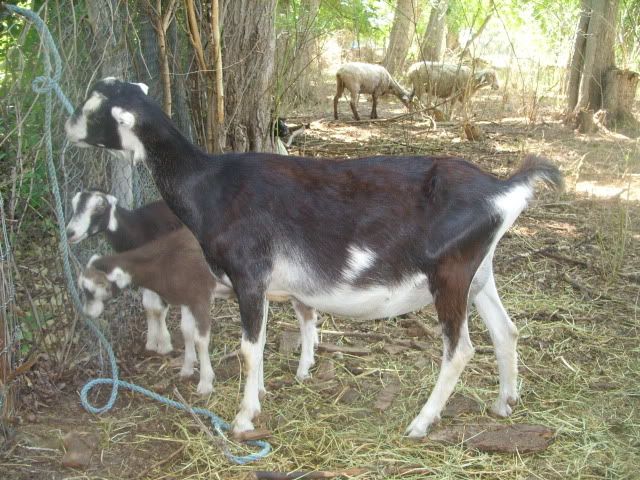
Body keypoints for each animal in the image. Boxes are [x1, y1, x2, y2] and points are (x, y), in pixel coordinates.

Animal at [66, 190, 182, 355]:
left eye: (100, 207)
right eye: (74, 204)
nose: (70, 233)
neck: (138, 228)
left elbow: (159, 307)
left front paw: (164, 345)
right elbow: (149, 305)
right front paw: (151, 343)